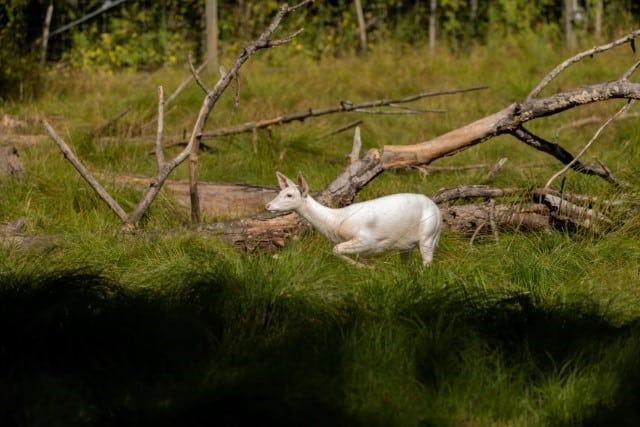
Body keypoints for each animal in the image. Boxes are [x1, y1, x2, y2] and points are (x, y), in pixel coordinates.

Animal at [264, 171, 440, 268]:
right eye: (280, 192)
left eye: (289, 195)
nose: (267, 205)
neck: (334, 221)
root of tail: (437, 210)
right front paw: (369, 269)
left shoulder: (369, 240)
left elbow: (335, 250)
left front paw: (367, 269)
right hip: (405, 245)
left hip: (429, 234)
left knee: (427, 262)